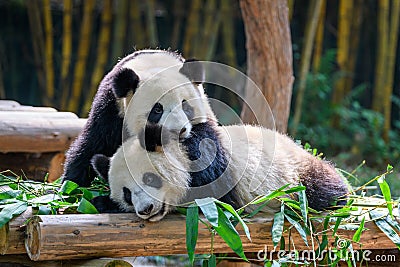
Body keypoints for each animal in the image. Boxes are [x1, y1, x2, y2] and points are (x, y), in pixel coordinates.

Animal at [90, 122, 346, 221]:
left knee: (323, 189)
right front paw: (100, 201)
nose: (145, 209)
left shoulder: (208, 164)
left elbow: (210, 196)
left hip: (295, 175)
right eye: (127, 194)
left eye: (149, 178)